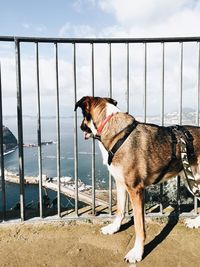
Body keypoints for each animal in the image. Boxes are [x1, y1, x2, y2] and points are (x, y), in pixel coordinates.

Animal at [74, 96, 200, 264]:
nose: (81, 127)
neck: (112, 126)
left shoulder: (136, 190)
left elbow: (139, 226)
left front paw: (137, 252)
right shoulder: (120, 184)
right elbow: (120, 210)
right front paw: (114, 228)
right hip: (191, 178)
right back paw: (195, 222)